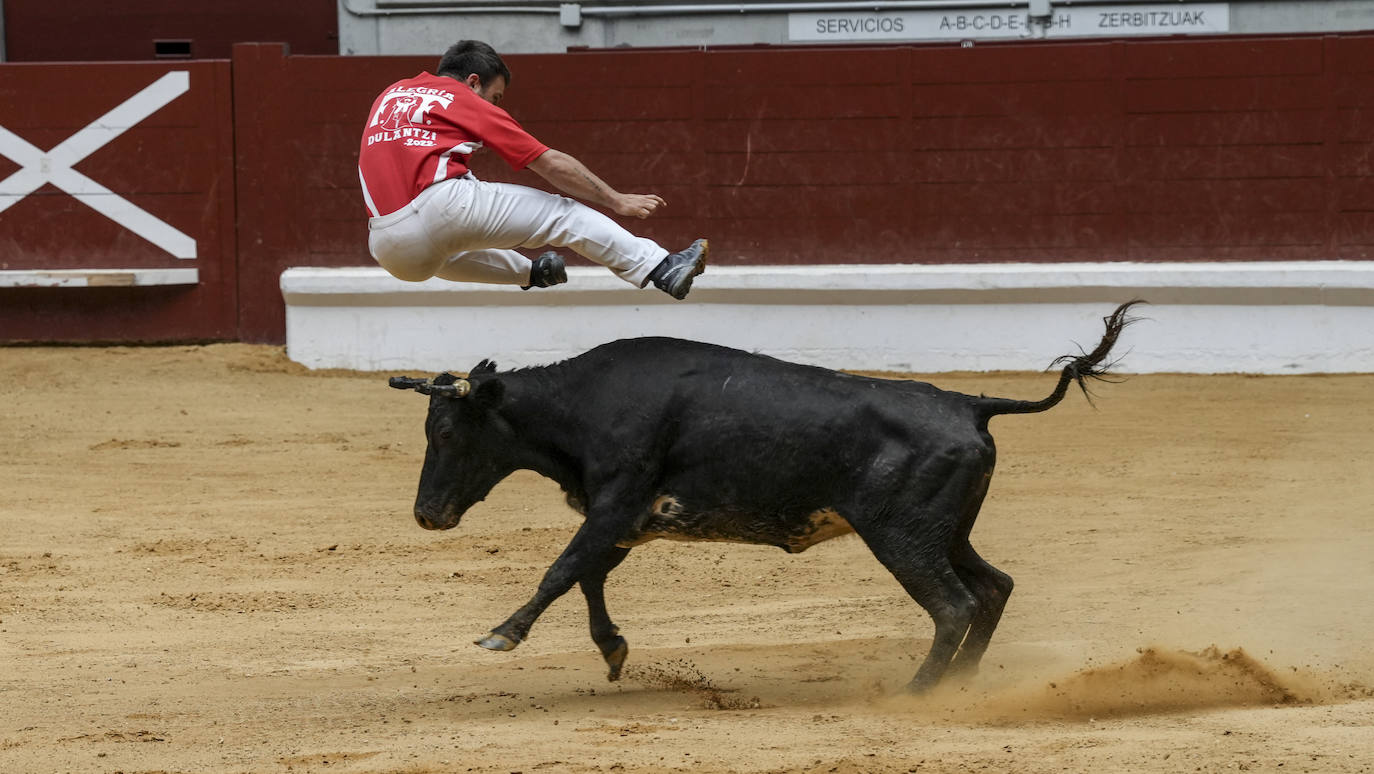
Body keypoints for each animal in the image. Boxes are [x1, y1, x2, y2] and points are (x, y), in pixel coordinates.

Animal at [384, 301, 1137, 690]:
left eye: (446, 431)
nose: (426, 515)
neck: (581, 405)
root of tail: (970, 404)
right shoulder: (626, 518)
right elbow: (589, 575)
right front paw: (613, 651)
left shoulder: (615, 506)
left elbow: (562, 569)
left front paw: (502, 634)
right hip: (945, 531)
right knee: (993, 587)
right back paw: (957, 685)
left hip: (903, 537)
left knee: (954, 604)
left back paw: (919, 692)